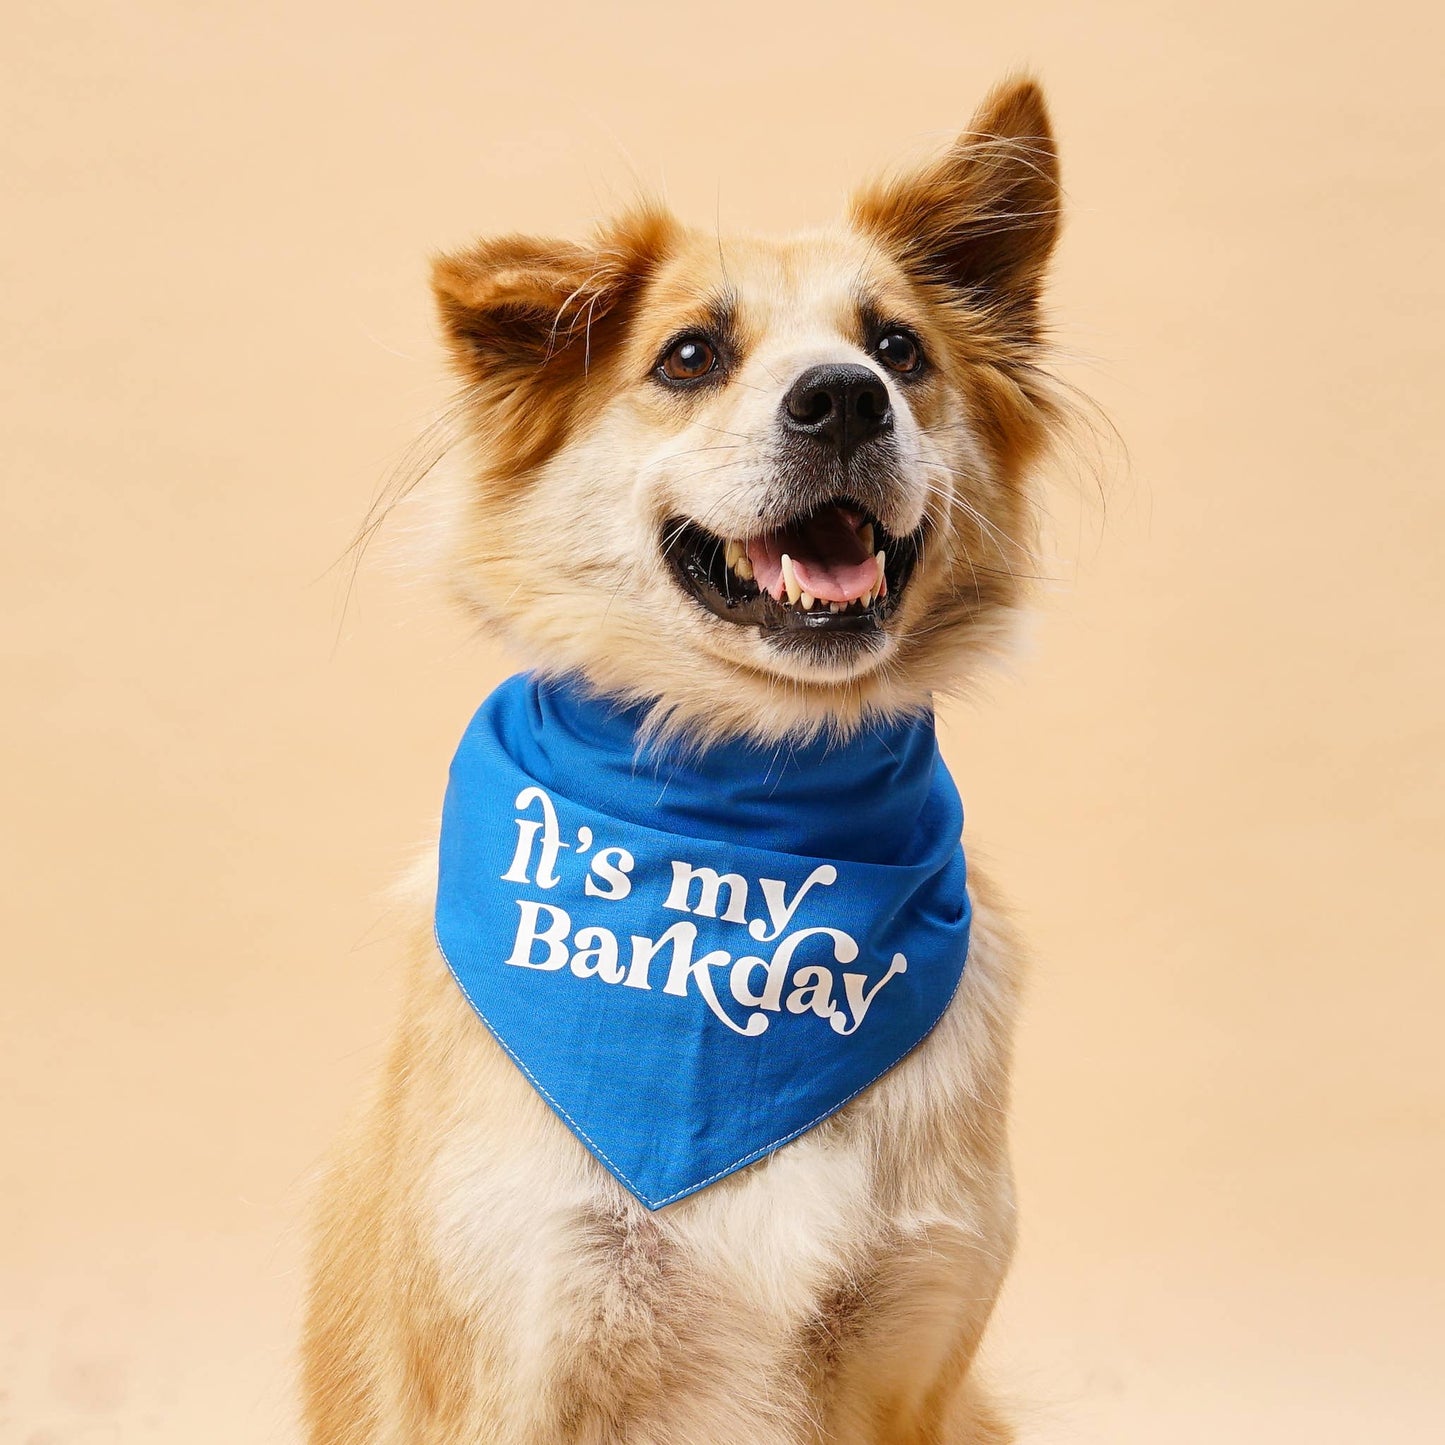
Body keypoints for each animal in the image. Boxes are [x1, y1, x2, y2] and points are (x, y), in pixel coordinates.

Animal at [304, 76, 1069, 1445]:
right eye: (688, 356)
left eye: (898, 349)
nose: (842, 397)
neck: (750, 812)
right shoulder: (516, 1348)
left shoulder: (910, 1362)